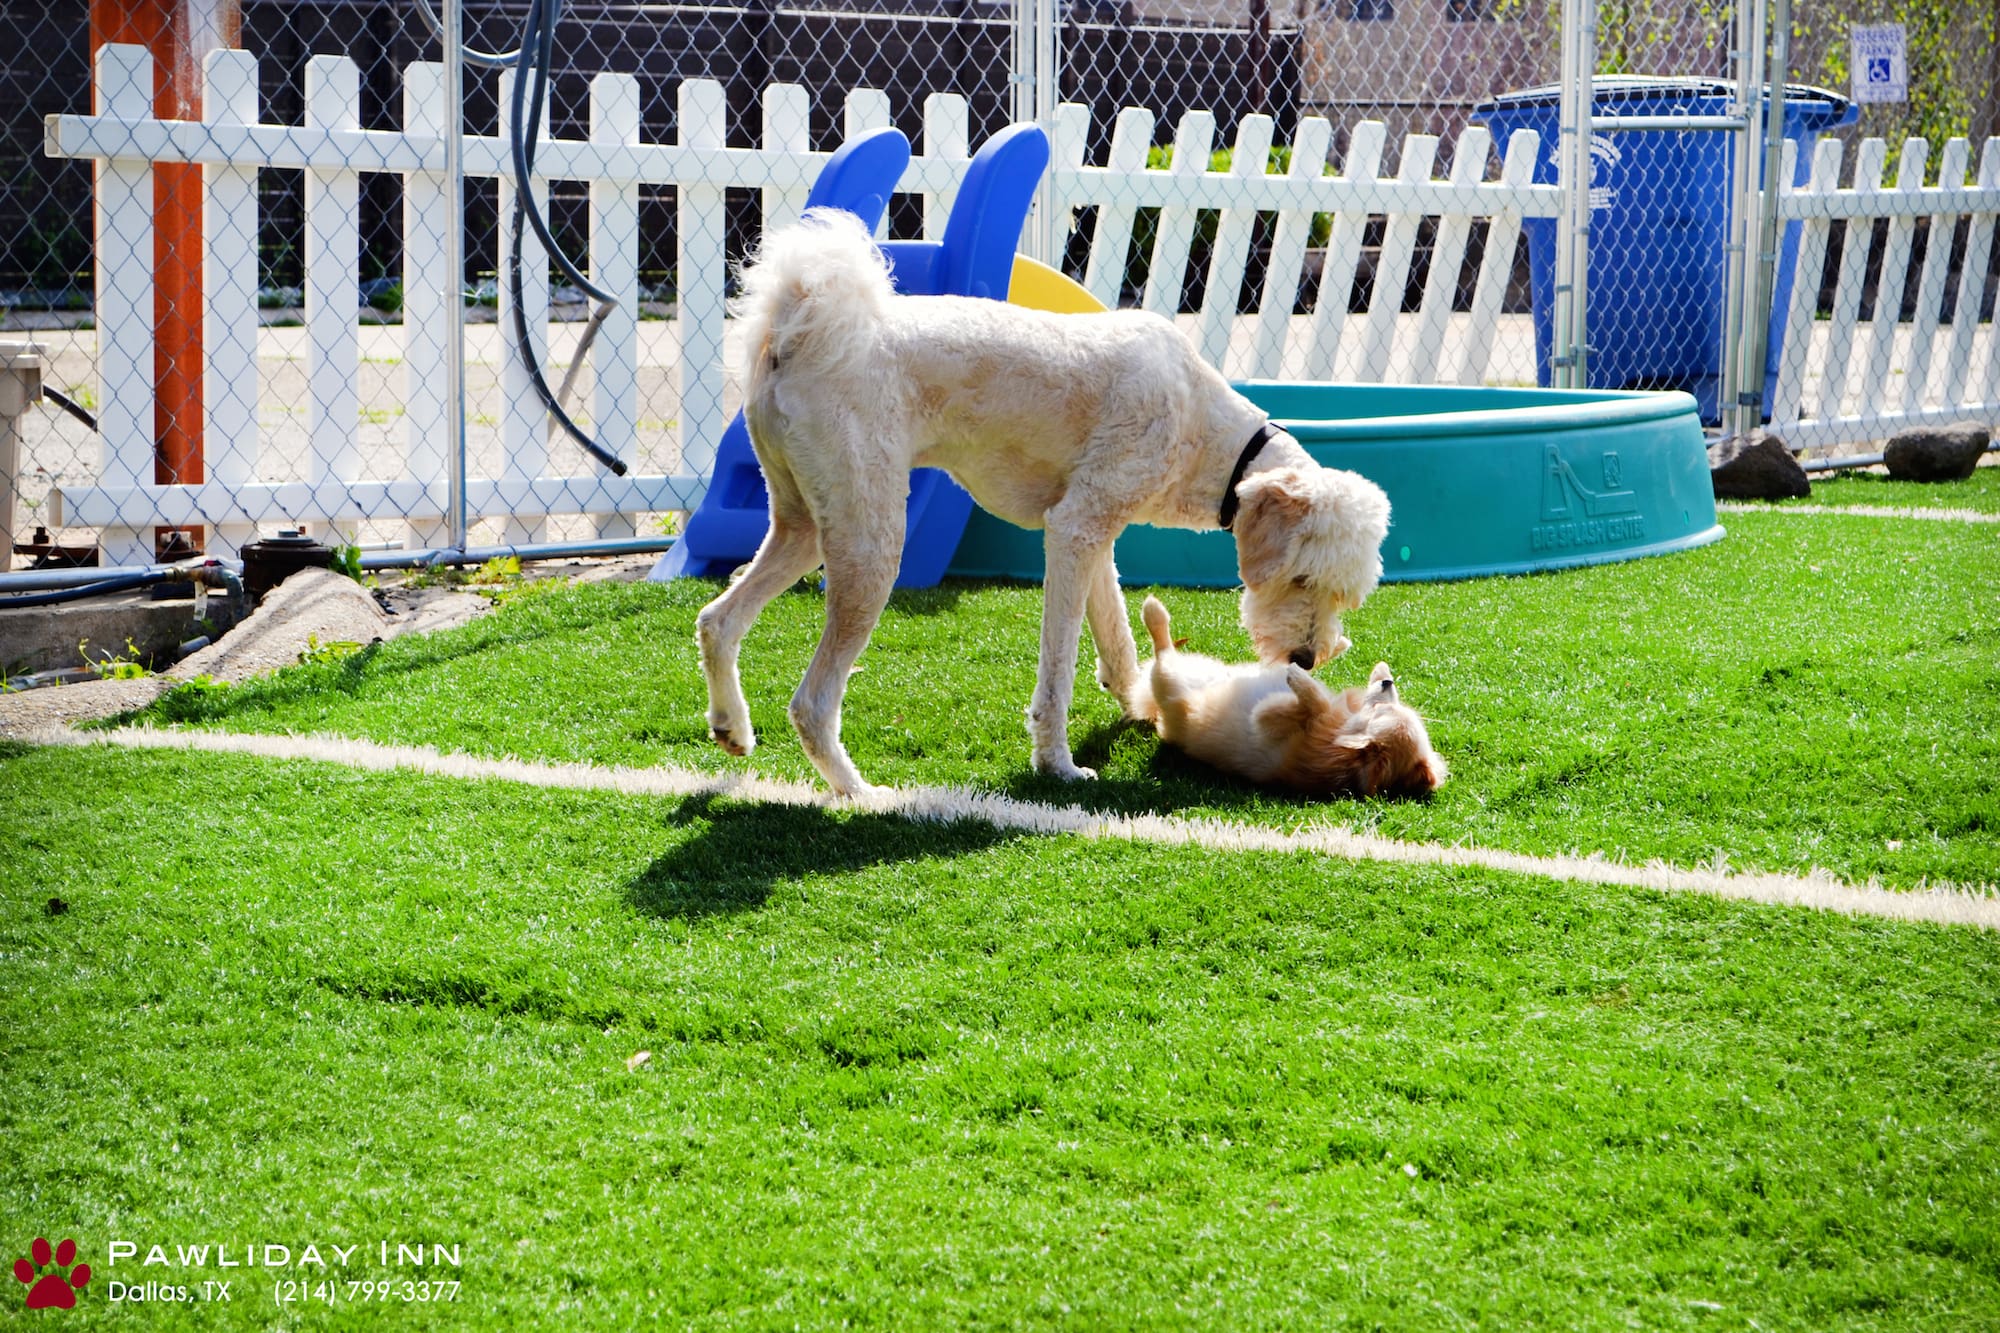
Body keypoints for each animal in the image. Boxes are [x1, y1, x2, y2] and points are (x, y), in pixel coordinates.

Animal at [700, 208, 1392, 788]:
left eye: (1341, 596)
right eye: (1301, 579)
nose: (1306, 656)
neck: (1204, 427)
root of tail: (799, 326)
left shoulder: (1092, 532)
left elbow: (1116, 636)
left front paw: (1140, 703)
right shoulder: (1073, 529)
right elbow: (1059, 670)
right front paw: (1057, 764)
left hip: (804, 526)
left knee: (717, 620)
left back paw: (732, 727)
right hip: (869, 545)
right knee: (812, 702)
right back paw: (857, 792)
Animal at [1152, 592, 1448, 800]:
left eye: (1378, 712)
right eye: (1391, 705)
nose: (1388, 682)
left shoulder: (1279, 721)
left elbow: (1302, 704)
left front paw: (1297, 680)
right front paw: (1376, 668)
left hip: (1169, 677)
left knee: (1162, 650)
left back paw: (1152, 611)